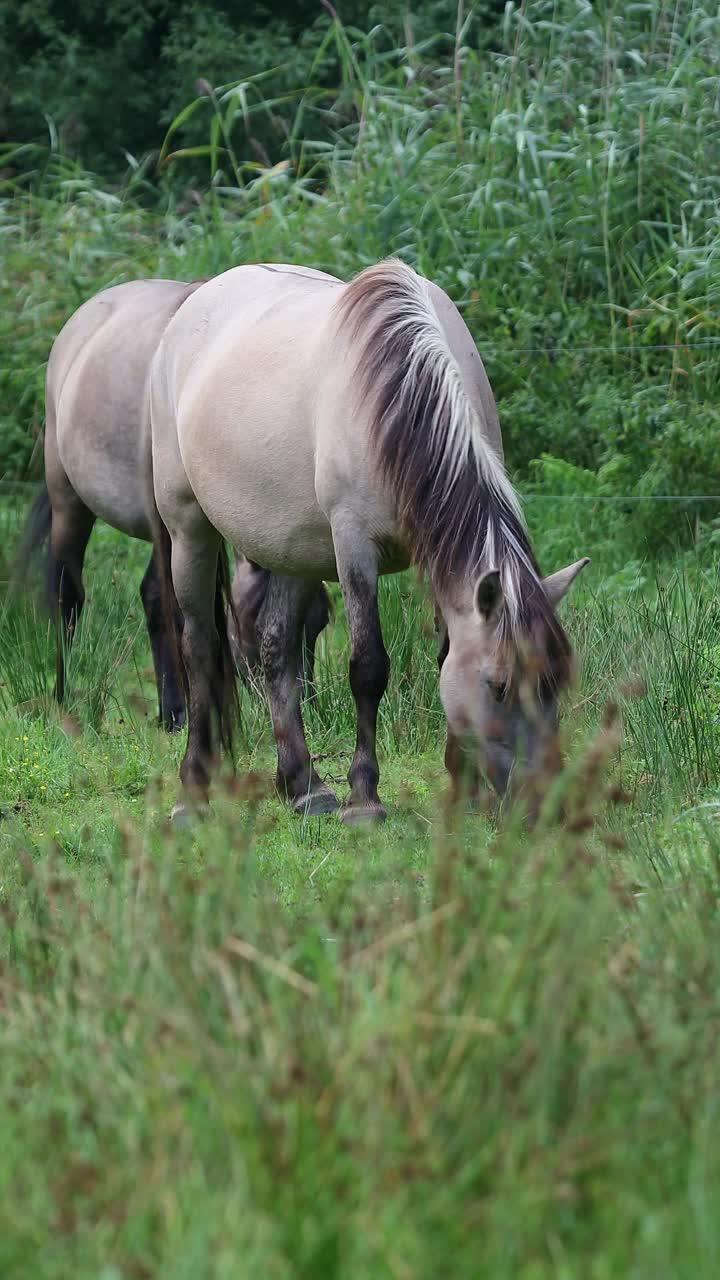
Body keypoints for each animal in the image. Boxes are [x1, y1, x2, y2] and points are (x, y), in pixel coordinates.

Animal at [23, 276, 327, 727]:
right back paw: (63, 697)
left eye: (321, 622)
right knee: (69, 595)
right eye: (254, 625)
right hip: (70, 501)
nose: (306, 705)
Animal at [148, 262, 586, 819]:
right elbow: (368, 667)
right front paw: (364, 797)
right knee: (201, 648)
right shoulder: (354, 547)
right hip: (189, 530)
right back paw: (193, 793)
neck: (399, 397)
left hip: (293, 548)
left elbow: (445, 655)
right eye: (500, 686)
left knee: (276, 649)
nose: (544, 802)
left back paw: (303, 784)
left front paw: (462, 786)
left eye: (556, 682)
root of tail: (192, 304)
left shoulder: (437, 558)